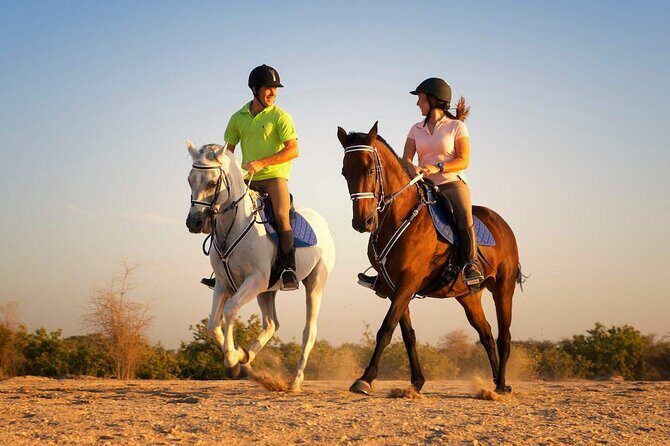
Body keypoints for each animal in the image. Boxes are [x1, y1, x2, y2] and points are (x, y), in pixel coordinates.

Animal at [185, 141, 335, 391]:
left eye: (213, 182)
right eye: (190, 179)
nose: (194, 223)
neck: (235, 225)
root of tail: (321, 222)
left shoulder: (254, 280)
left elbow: (230, 310)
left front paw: (232, 359)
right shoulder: (224, 284)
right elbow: (213, 323)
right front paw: (239, 356)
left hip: (314, 284)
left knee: (309, 332)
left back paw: (295, 380)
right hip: (267, 292)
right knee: (271, 324)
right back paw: (248, 360)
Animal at [337, 122, 523, 395]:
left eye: (370, 169)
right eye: (344, 172)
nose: (364, 222)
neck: (400, 216)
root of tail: (503, 224)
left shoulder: (408, 282)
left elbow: (386, 329)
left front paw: (365, 378)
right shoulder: (393, 287)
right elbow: (407, 334)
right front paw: (417, 381)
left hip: (503, 288)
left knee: (504, 336)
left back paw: (501, 385)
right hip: (467, 296)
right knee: (487, 334)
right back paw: (495, 381)